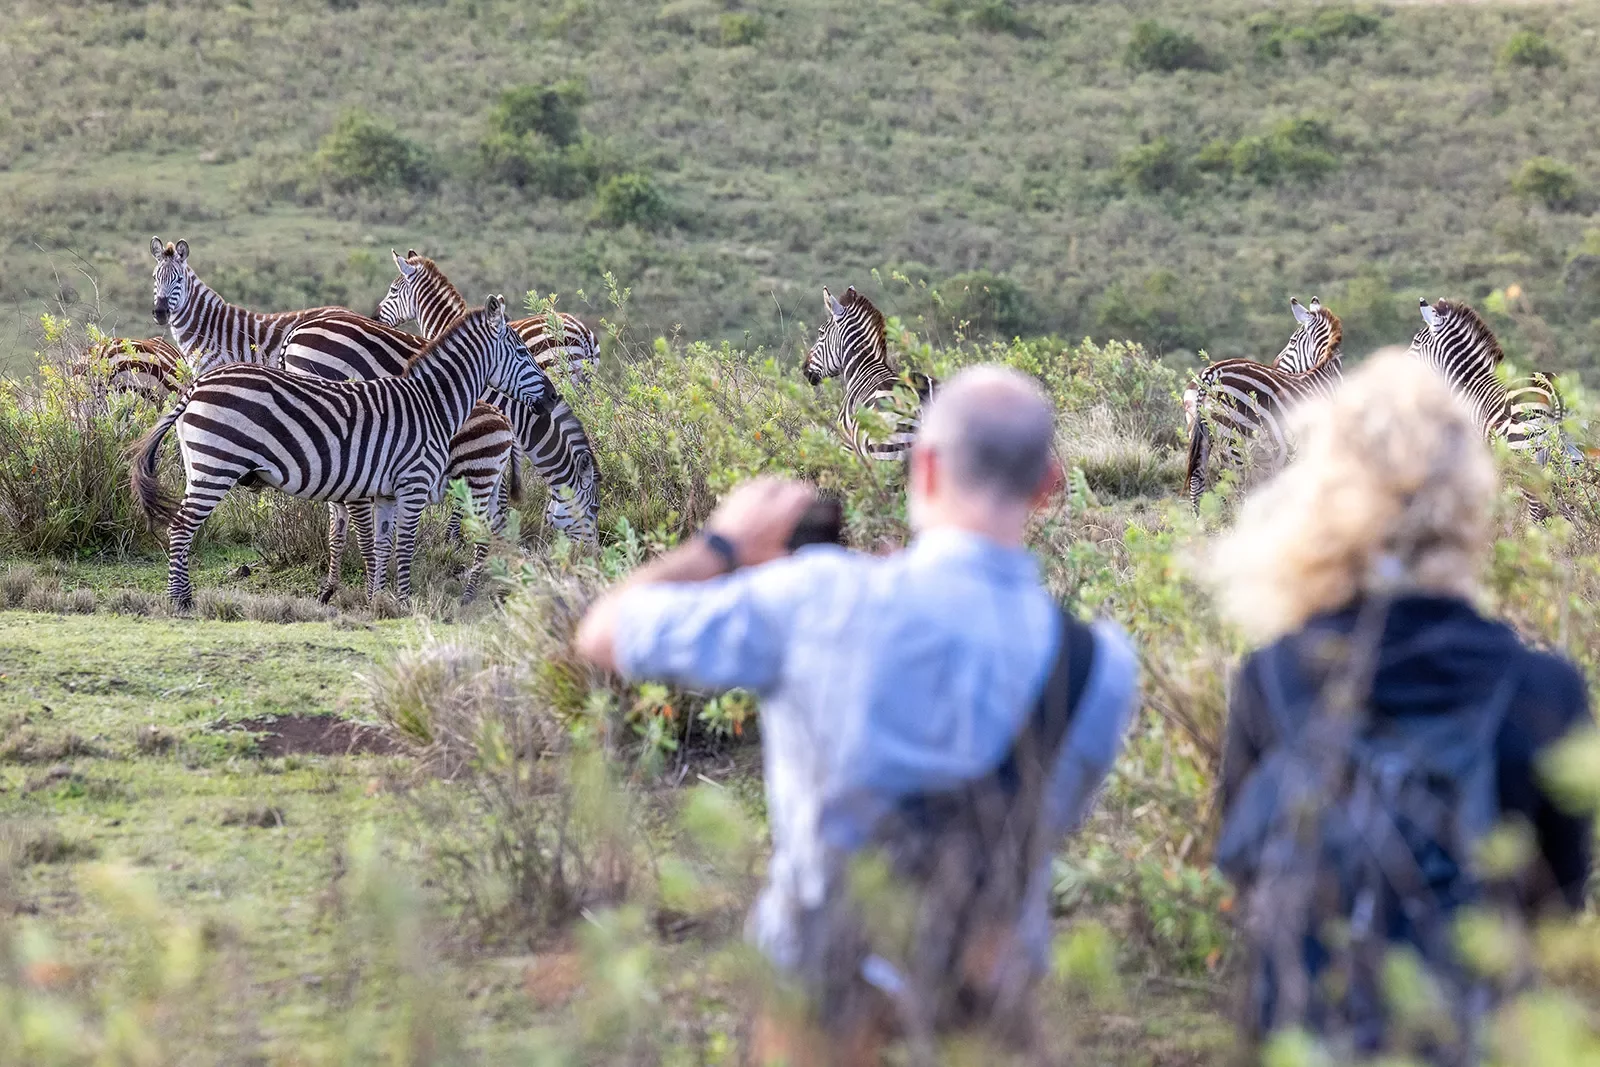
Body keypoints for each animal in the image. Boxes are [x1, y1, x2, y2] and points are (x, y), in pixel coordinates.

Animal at [1184, 292, 1344, 508]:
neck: (1325, 375)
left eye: (1292, 341)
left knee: (1197, 484)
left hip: (1202, 437)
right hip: (1236, 445)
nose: (1275, 365)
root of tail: (1210, 373)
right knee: (1236, 492)